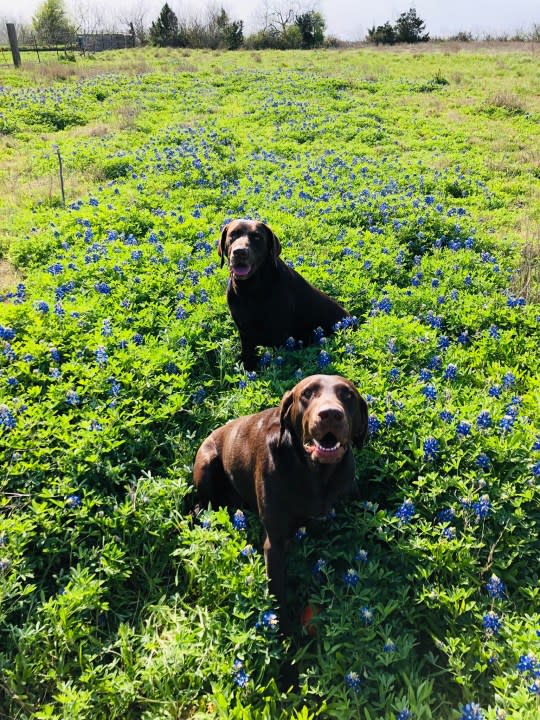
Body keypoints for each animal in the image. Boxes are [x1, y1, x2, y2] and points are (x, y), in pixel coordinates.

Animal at [193, 374, 368, 632]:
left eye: (348, 395)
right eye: (307, 393)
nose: (330, 414)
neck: (317, 475)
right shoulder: (275, 542)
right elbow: (277, 593)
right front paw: (286, 634)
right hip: (206, 464)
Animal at [219, 218, 350, 372]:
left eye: (257, 237)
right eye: (233, 234)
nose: (240, 252)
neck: (251, 289)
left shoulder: (280, 333)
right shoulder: (244, 330)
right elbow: (248, 356)